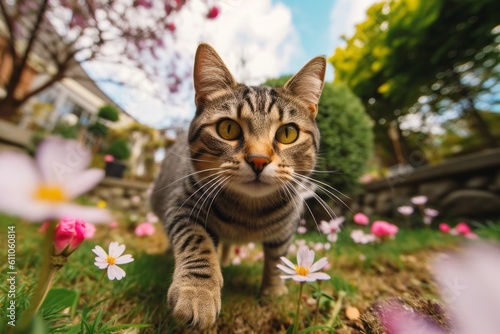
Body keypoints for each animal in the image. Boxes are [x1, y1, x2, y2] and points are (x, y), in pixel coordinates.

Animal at [150, 43, 326, 328]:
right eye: (228, 128)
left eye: (288, 133)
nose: (258, 159)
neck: (247, 211)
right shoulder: (182, 206)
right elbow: (196, 241)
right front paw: (197, 291)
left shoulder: (286, 228)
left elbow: (277, 257)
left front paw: (273, 290)